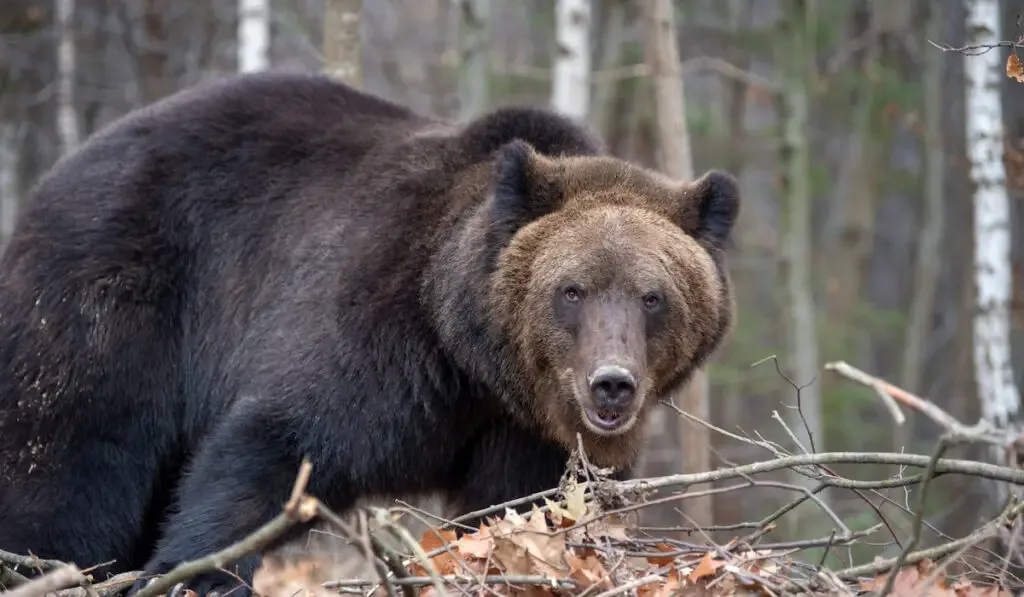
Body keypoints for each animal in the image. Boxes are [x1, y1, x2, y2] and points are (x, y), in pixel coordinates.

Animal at [0, 71, 741, 597]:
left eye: (653, 296)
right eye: (572, 290)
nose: (612, 384)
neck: (474, 358)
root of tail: (64, 168)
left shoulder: (524, 433)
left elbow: (522, 508)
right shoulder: (382, 341)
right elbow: (273, 444)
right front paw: (198, 573)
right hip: (115, 293)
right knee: (71, 454)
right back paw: (43, 566)